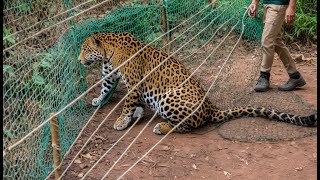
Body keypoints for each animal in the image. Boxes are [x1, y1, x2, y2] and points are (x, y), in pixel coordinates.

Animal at [78, 31, 318, 134]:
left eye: (85, 49)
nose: (79, 60)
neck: (108, 53)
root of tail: (211, 107)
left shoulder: (135, 83)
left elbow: (127, 103)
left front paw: (121, 120)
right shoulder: (110, 74)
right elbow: (106, 87)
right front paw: (99, 100)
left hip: (169, 97)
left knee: (186, 126)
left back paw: (161, 127)